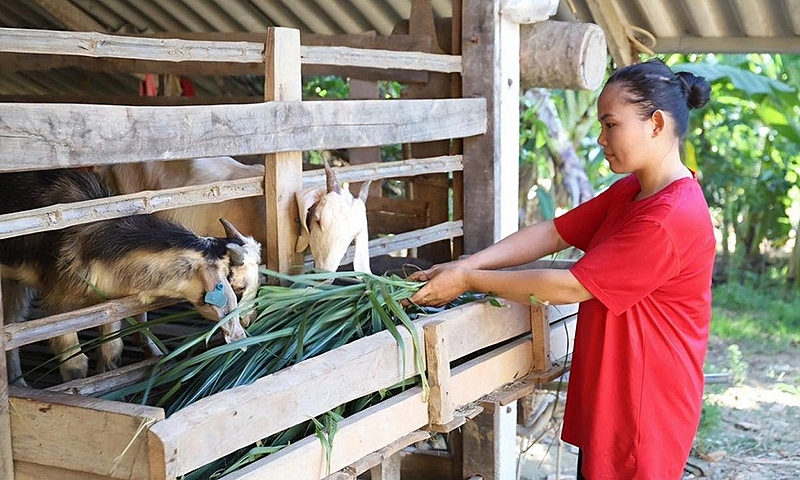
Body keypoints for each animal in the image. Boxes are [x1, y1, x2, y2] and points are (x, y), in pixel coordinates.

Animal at [0, 169, 260, 382]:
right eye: (237, 287)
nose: (249, 320)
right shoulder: (59, 306)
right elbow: (75, 364)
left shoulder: (107, 303)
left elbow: (112, 350)